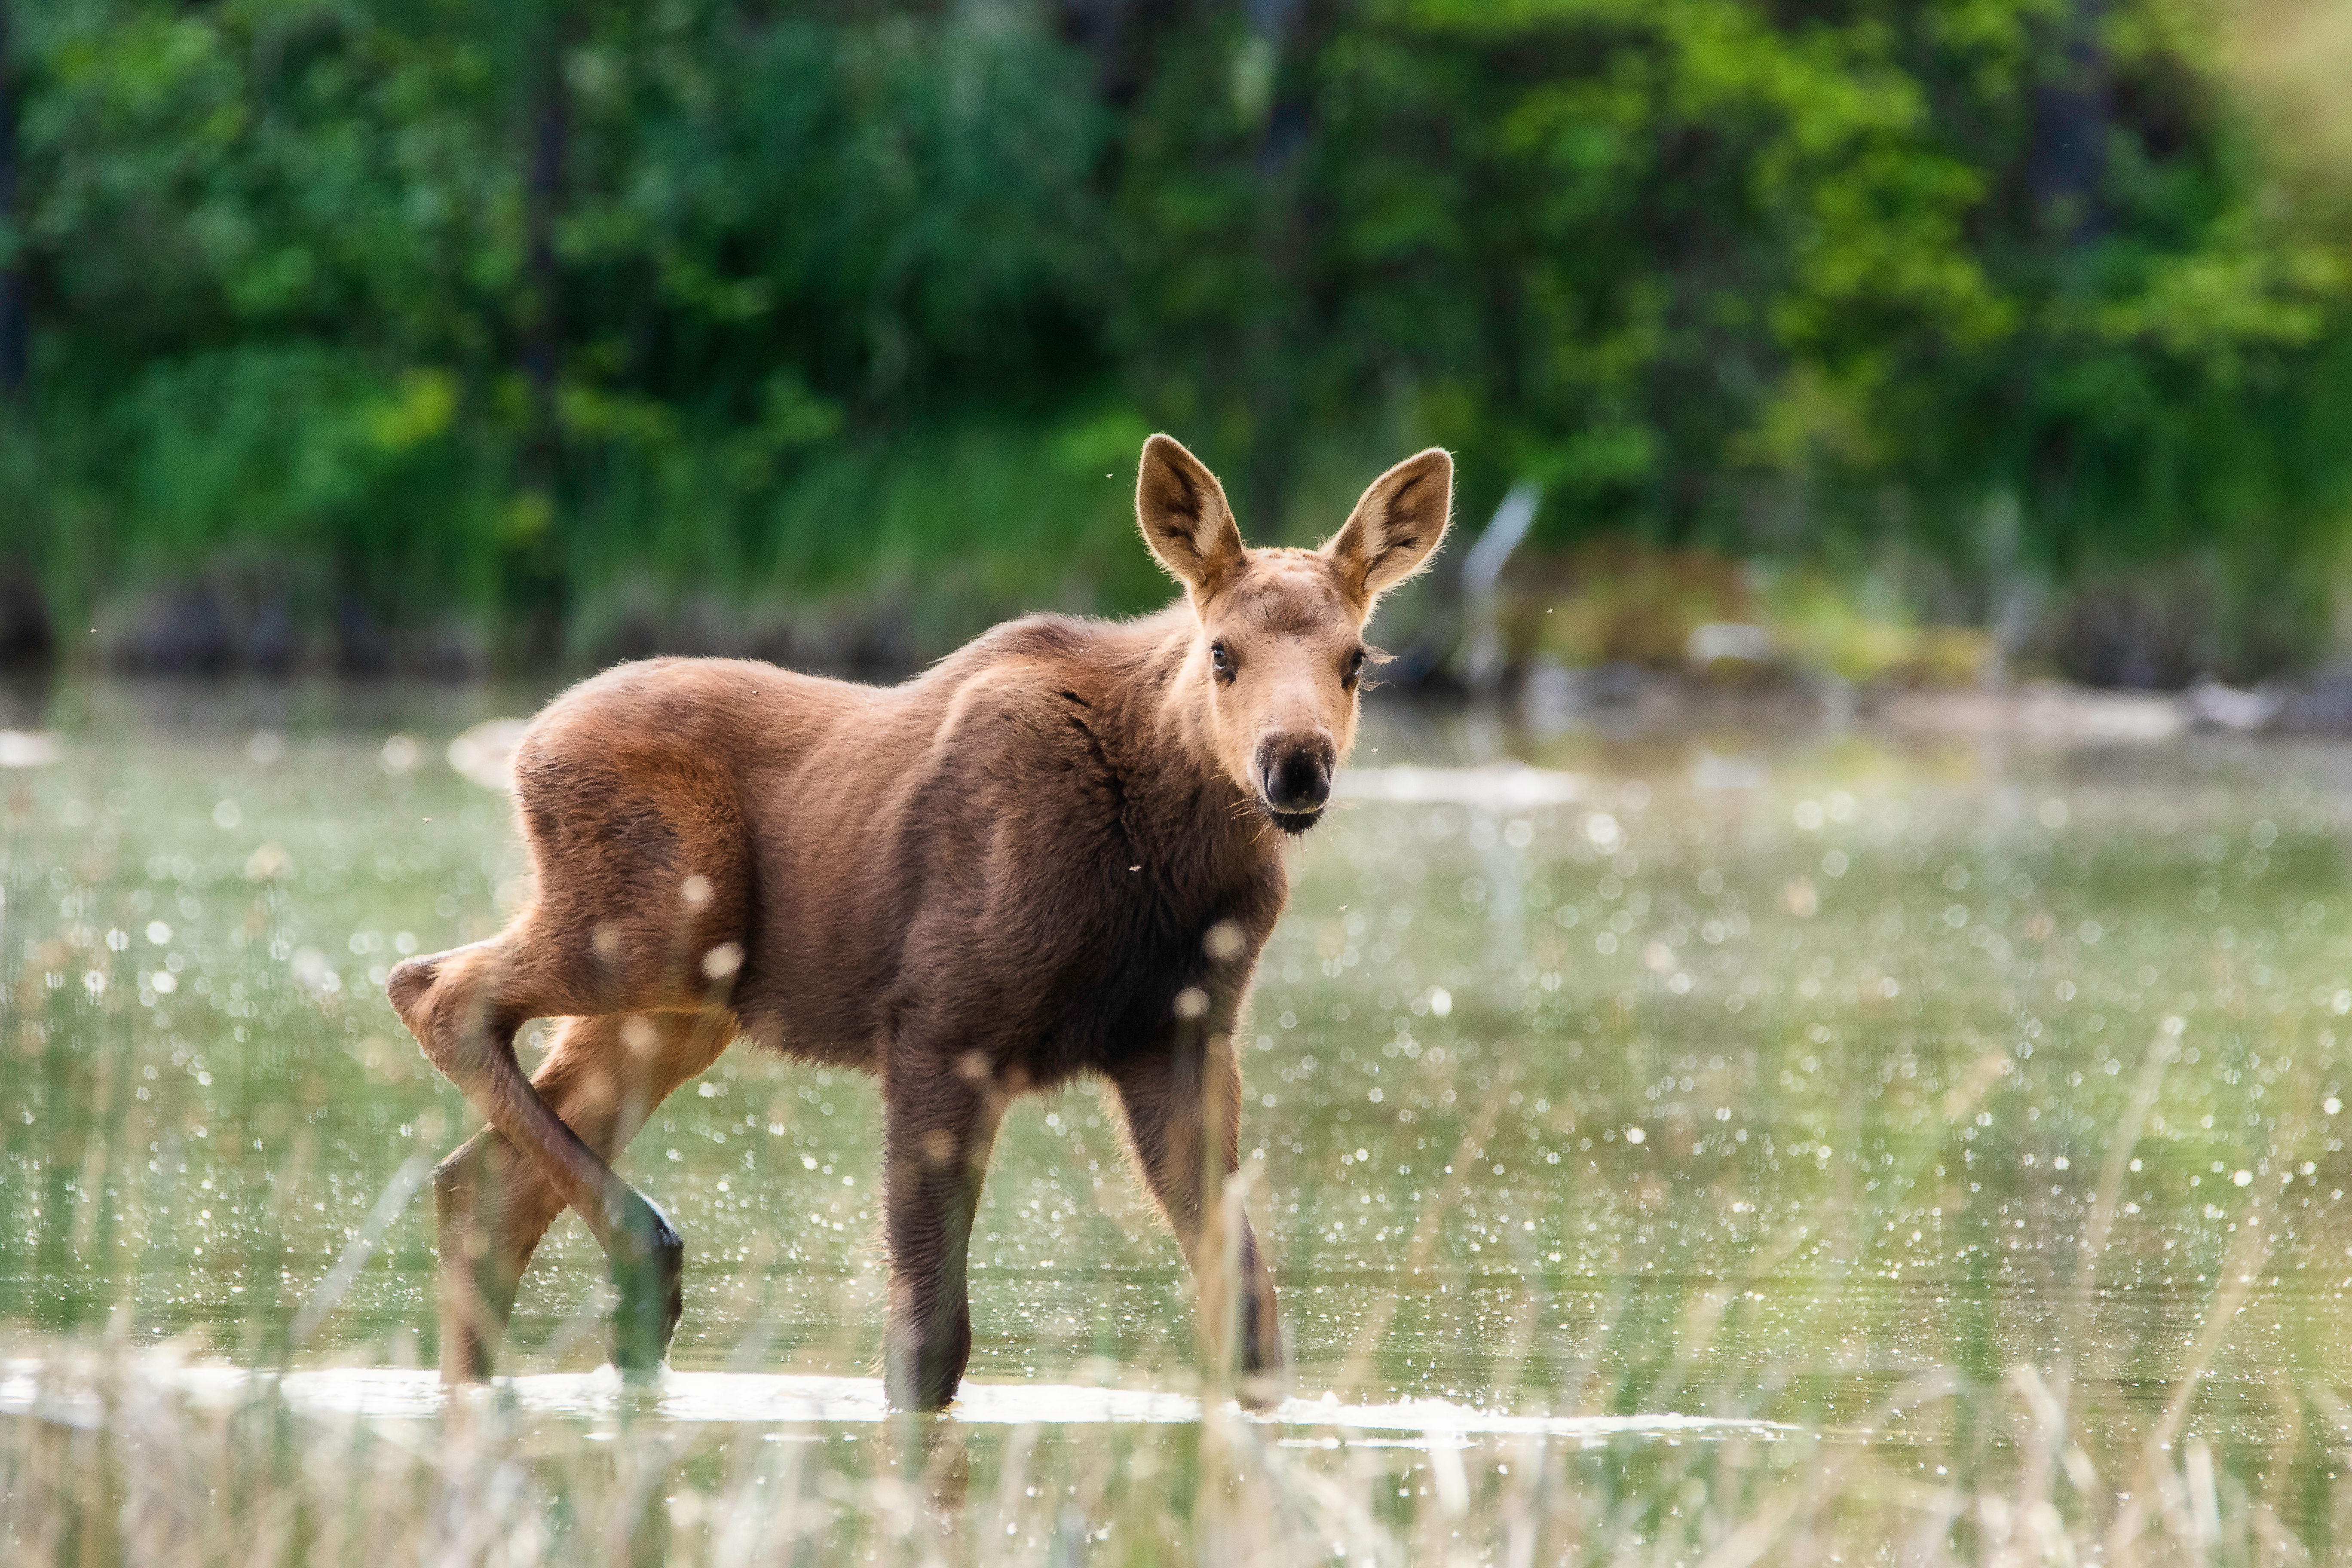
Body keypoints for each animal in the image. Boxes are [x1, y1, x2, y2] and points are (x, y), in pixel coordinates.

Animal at [386, 434, 1452, 1410]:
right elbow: (926, 1345)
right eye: (1222, 653)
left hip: (683, 1007)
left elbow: (1252, 1327)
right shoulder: (941, 1022)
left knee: (482, 1182)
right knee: (433, 988)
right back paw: (649, 1266)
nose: (1295, 764)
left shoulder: (1182, 1035)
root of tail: (526, 744)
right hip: (656, 934)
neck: (1166, 859)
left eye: (1357, 661)